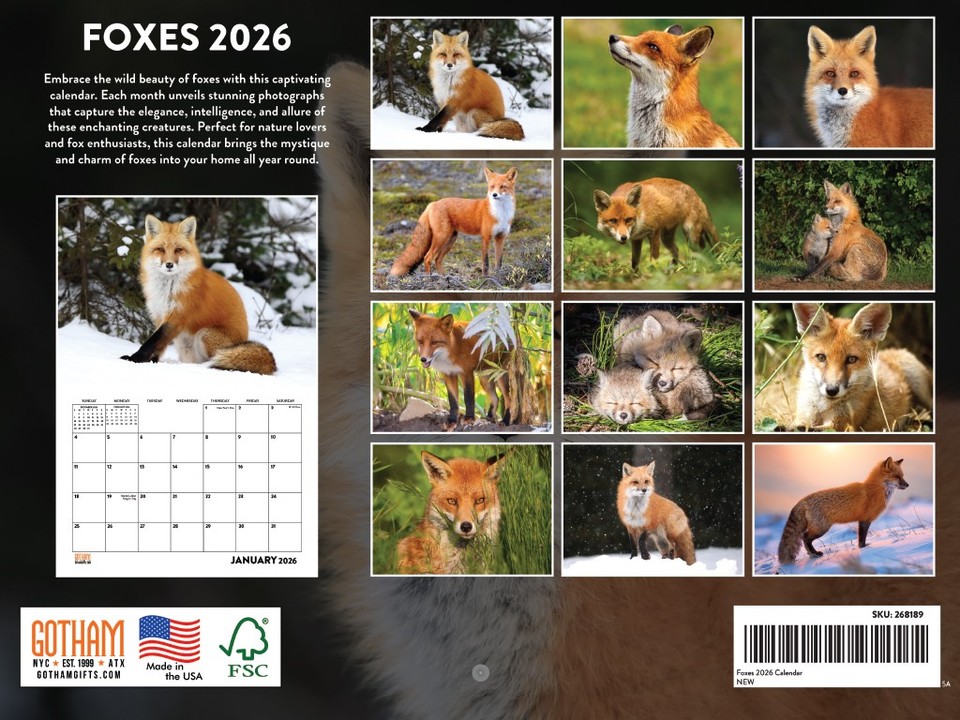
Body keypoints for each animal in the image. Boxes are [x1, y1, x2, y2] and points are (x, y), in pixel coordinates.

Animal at [120, 214, 277, 375]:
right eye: (160, 249)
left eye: (178, 250)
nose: (169, 264)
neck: (167, 289)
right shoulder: (159, 315)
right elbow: (159, 344)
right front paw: (151, 361)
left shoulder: (178, 316)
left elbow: (152, 342)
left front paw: (134, 359)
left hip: (205, 334)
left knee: (213, 361)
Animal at [777, 456, 909, 564]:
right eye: (897, 477)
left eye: (903, 476)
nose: (908, 485)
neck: (874, 490)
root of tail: (802, 500)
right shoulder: (864, 519)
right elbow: (862, 538)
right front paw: (864, 548)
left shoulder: (864, 519)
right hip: (821, 529)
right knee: (805, 537)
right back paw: (814, 554)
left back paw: (812, 554)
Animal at [792, 302, 932, 432]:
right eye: (821, 357)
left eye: (851, 359)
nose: (831, 390)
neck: (823, 407)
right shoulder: (804, 416)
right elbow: (797, 425)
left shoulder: (843, 424)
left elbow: (805, 428)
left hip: (918, 382)